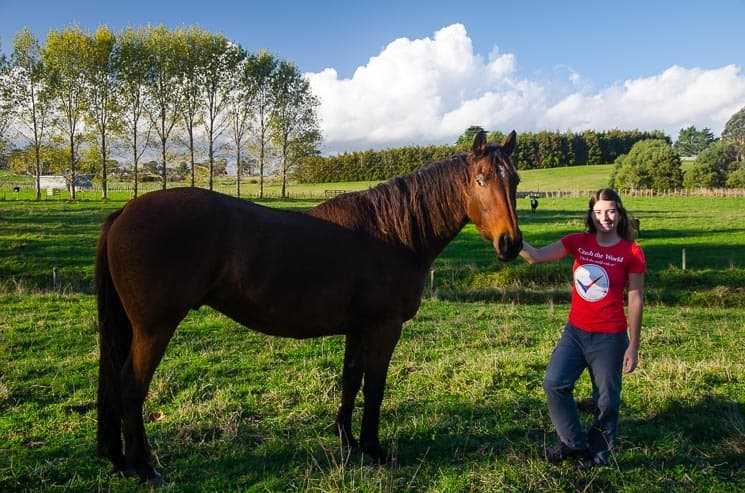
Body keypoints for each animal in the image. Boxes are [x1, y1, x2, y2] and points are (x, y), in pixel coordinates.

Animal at [94, 129, 524, 478]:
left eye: (515, 180)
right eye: (481, 180)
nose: (511, 244)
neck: (392, 233)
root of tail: (124, 210)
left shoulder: (358, 328)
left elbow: (350, 380)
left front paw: (348, 442)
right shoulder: (384, 328)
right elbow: (375, 387)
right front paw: (374, 450)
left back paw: (123, 461)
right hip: (154, 329)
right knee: (131, 387)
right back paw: (143, 468)